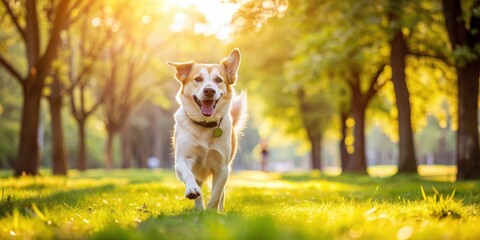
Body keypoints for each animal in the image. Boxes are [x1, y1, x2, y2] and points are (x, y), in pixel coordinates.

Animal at [168, 48, 246, 212]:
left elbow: (216, 195)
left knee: (221, 194)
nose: (209, 90)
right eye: (198, 79)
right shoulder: (183, 159)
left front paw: (210, 212)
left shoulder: (222, 168)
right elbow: (189, 175)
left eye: (218, 80)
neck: (204, 124)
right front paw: (192, 190)